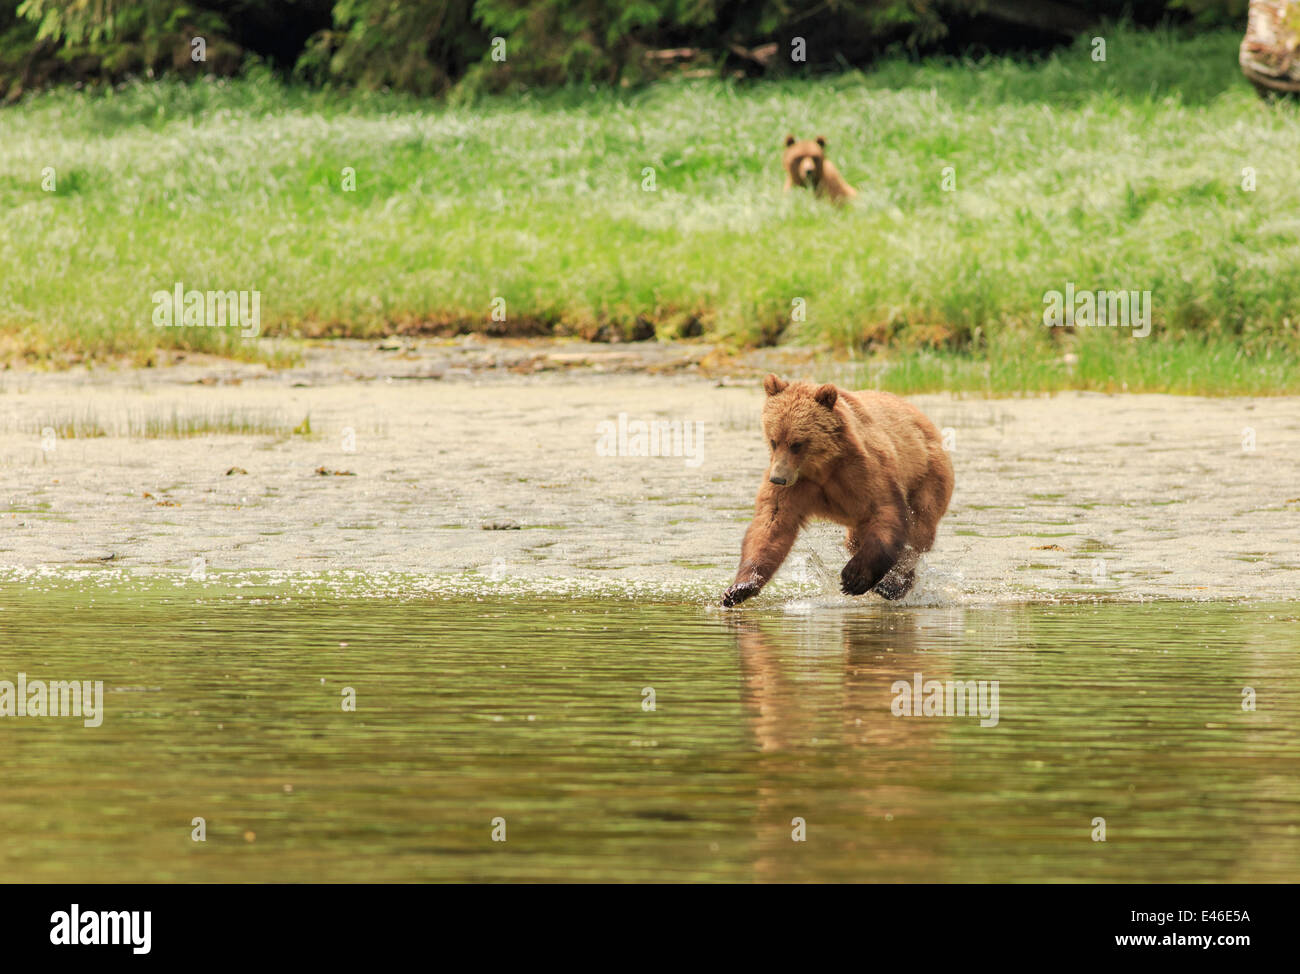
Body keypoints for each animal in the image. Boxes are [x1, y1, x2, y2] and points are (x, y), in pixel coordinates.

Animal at [722, 374, 956, 608]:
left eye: (797, 443)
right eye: (774, 440)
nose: (778, 479)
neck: (824, 465)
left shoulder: (863, 471)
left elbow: (886, 511)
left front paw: (854, 577)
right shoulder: (798, 484)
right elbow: (772, 523)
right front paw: (738, 589)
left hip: (928, 476)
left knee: (919, 530)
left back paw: (894, 585)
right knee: (856, 541)